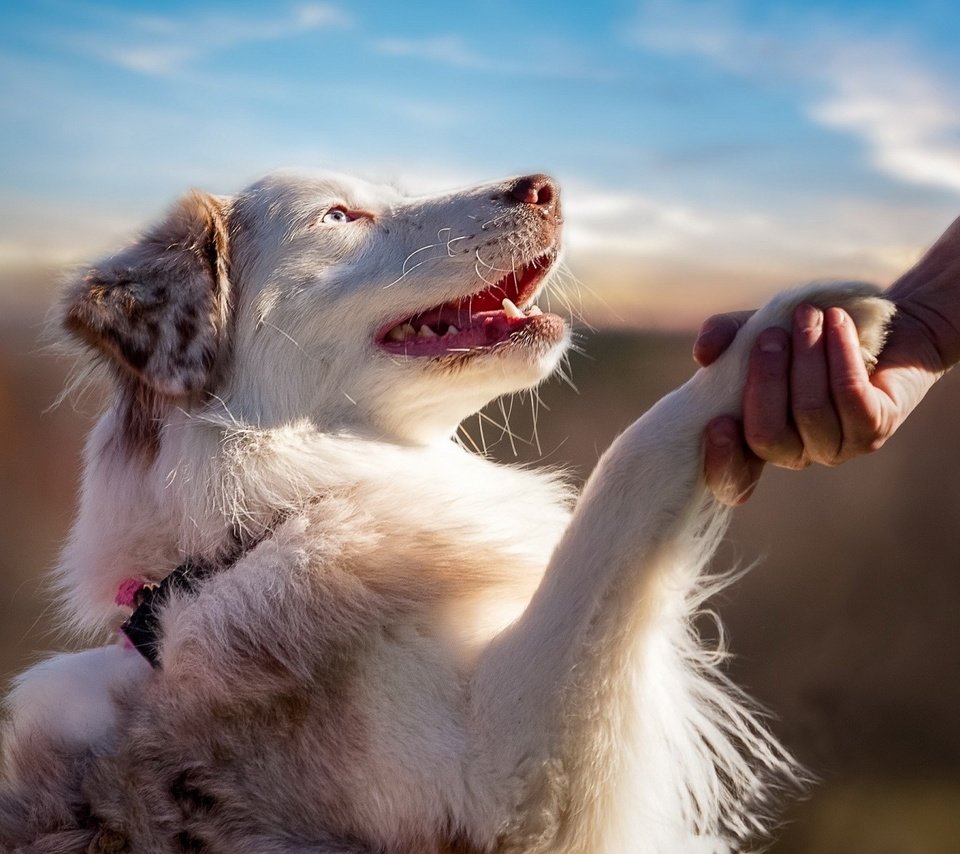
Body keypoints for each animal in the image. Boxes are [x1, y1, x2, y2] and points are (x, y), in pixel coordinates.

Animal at [3, 171, 896, 852]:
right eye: (340, 215)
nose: (544, 186)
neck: (257, 527)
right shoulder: (504, 783)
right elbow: (627, 472)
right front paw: (795, 326)